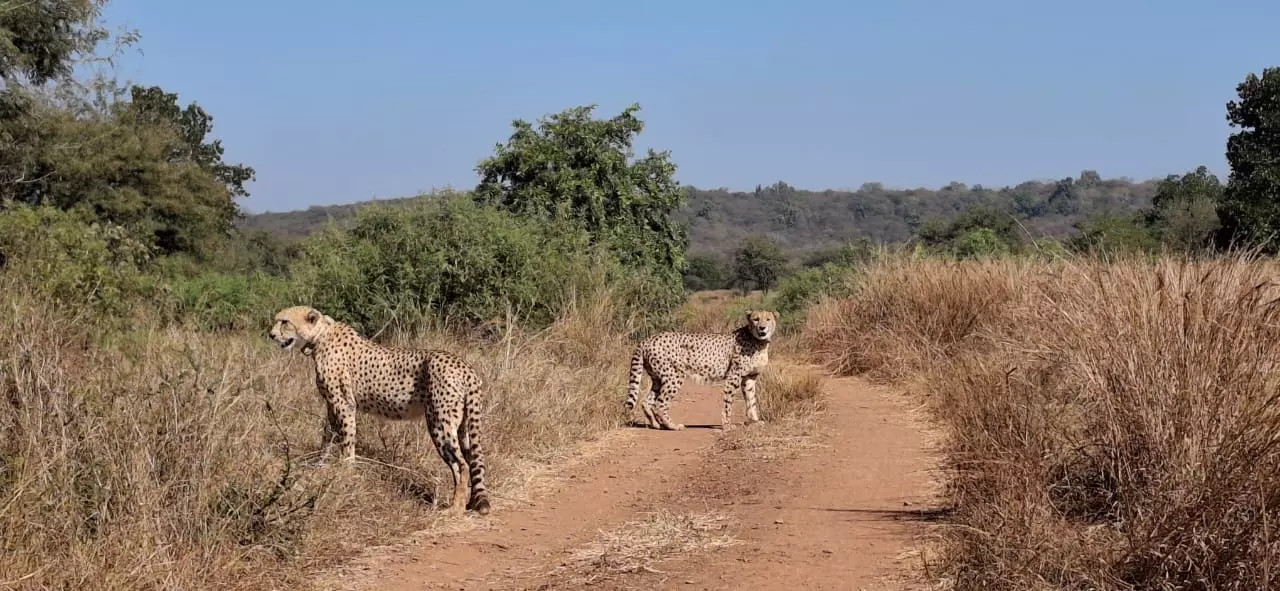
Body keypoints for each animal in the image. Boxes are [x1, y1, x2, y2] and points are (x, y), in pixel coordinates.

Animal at [267, 307, 491, 514]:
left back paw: (456, 507)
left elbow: (347, 440)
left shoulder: (344, 404)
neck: (320, 335)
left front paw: (346, 472)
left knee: (461, 464)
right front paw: (321, 463)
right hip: (462, 426)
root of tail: (465, 367)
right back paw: (471, 503)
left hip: (439, 422)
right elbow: (328, 436)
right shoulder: (331, 405)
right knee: (472, 460)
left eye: (285, 322)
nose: (271, 335)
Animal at [622, 309, 773, 429]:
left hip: (658, 378)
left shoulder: (750, 377)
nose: (762, 328)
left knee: (647, 402)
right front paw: (727, 425)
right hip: (674, 376)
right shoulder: (733, 376)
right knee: (660, 403)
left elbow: (751, 400)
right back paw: (672, 426)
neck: (758, 342)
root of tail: (647, 339)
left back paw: (656, 425)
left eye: (768, 319)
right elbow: (728, 402)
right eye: (756, 319)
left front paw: (755, 421)